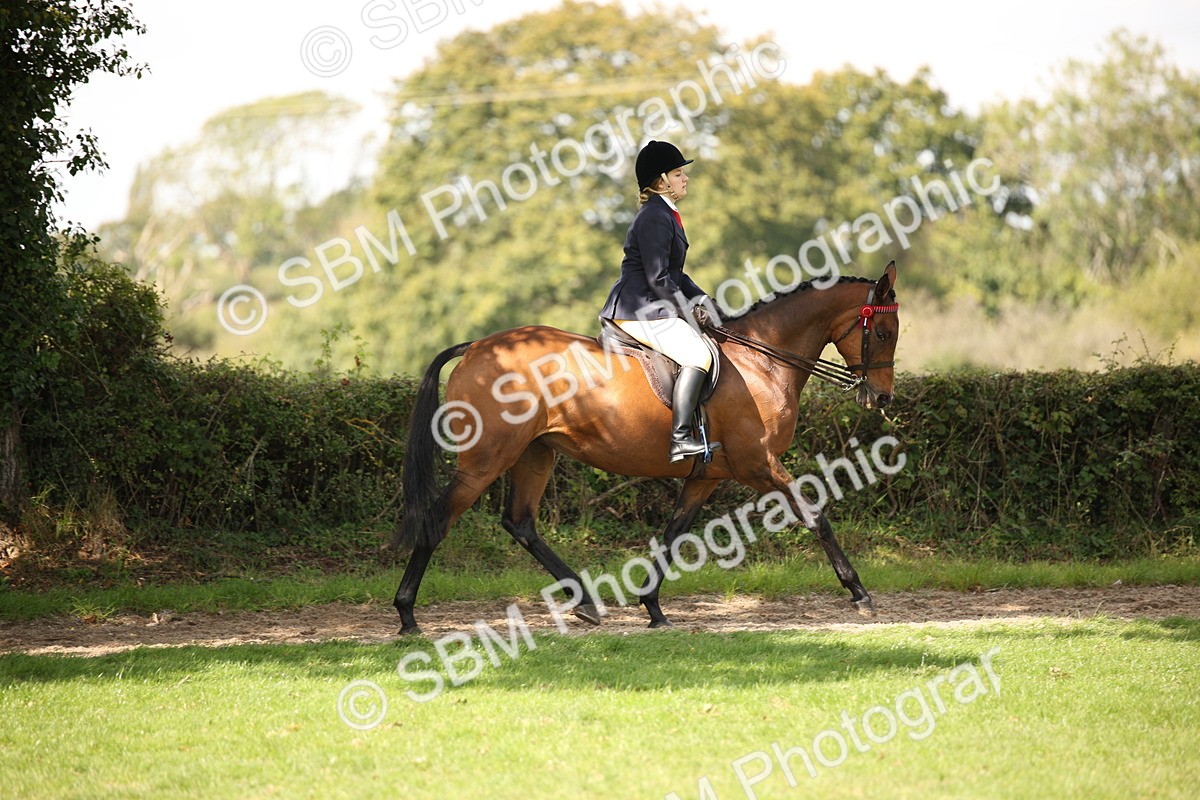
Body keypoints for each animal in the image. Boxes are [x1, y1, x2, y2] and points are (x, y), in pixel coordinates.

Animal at [391, 261, 900, 634]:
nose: (881, 398)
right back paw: (407, 615)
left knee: (520, 523)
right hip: (486, 460)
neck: (762, 361)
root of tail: (476, 346)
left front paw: (652, 608)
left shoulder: (707, 477)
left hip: (536, 452)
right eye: (883, 334)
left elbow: (674, 534)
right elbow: (815, 515)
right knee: (439, 520)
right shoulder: (758, 464)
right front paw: (860, 594)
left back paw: (586, 603)